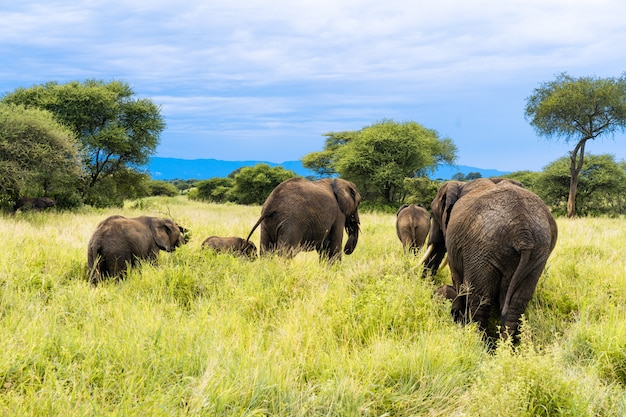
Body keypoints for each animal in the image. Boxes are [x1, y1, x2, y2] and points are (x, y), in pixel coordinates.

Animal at [420, 177, 556, 342]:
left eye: (434, 214)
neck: (461, 184)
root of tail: (523, 234)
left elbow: (457, 279)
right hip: (538, 253)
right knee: (516, 303)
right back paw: (505, 347)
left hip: (481, 249)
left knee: (480, 300)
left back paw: (478, 342)